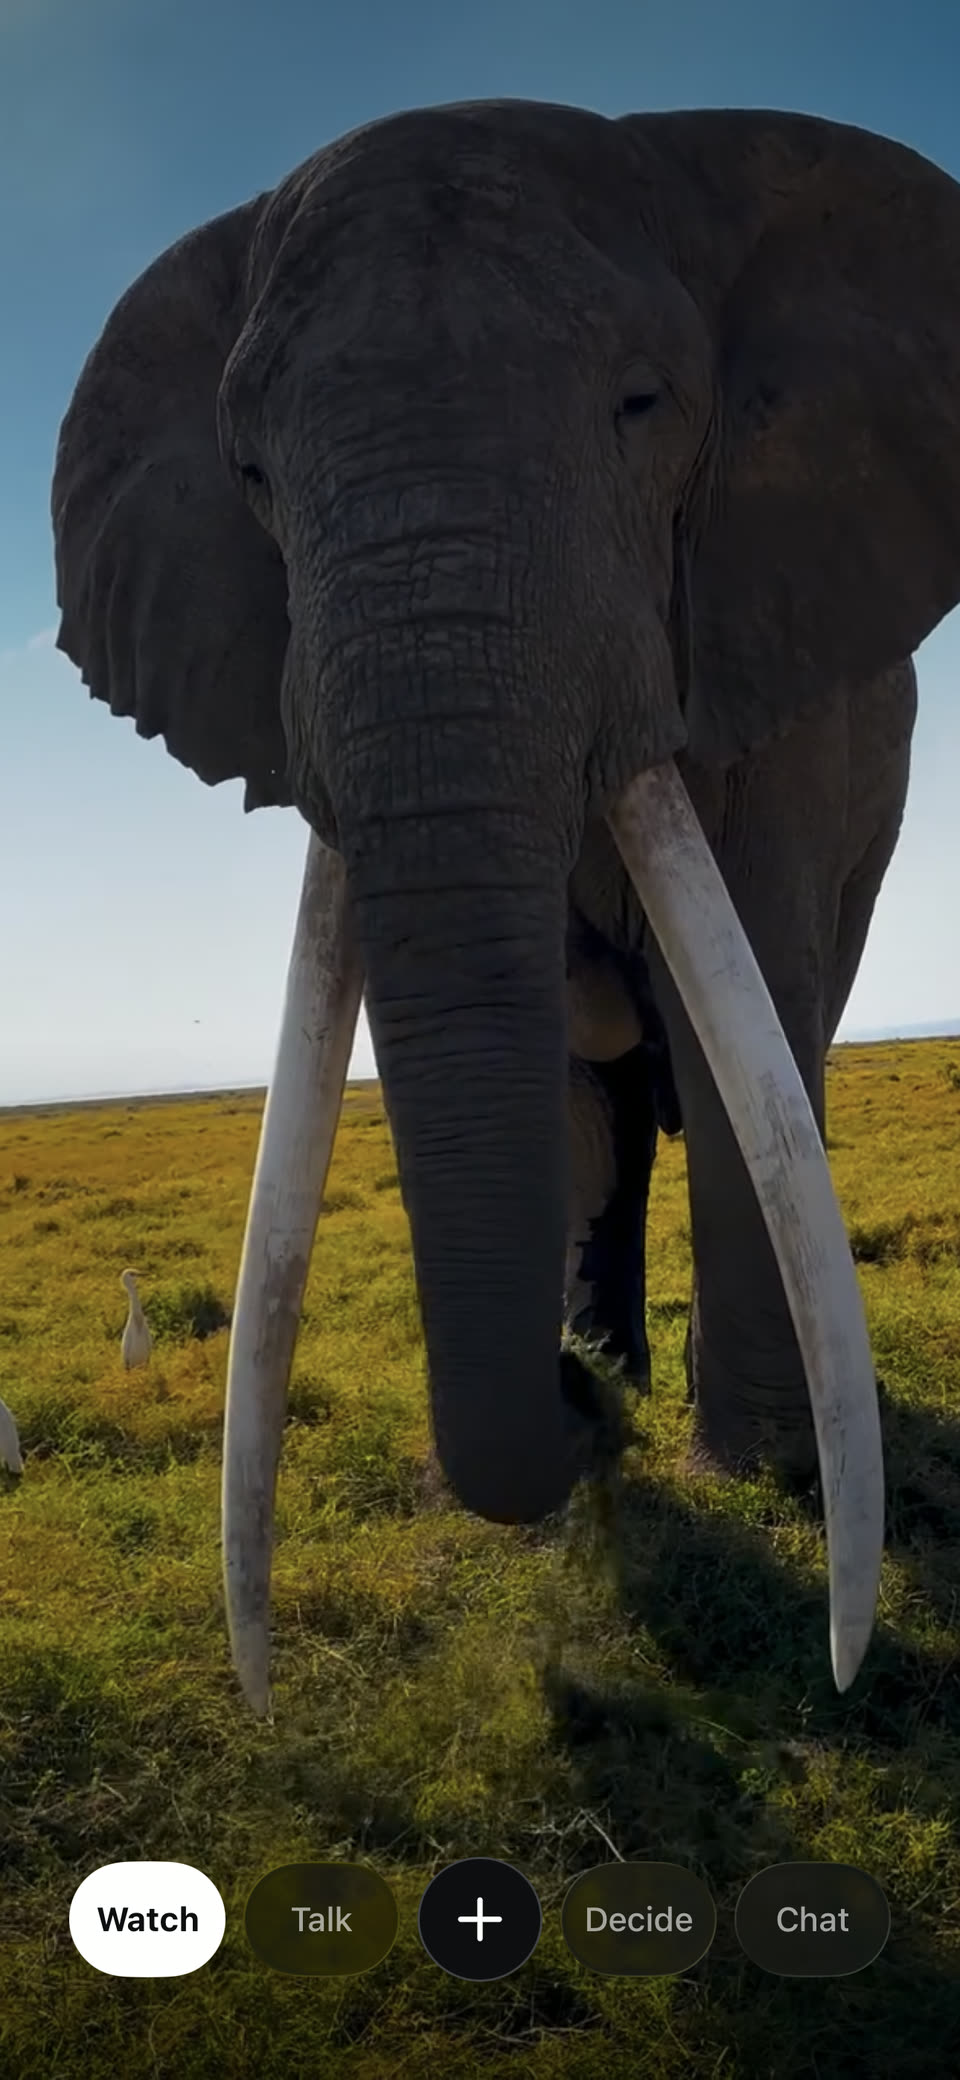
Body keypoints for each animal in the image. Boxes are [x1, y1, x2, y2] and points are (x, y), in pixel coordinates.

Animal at [51, 101, 960, 1714]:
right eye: (252, 476)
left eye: (643, 406)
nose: (575, 1405)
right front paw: (604, 1401)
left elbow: (739, 1041)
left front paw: (753, 1477)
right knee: (601, 1099)